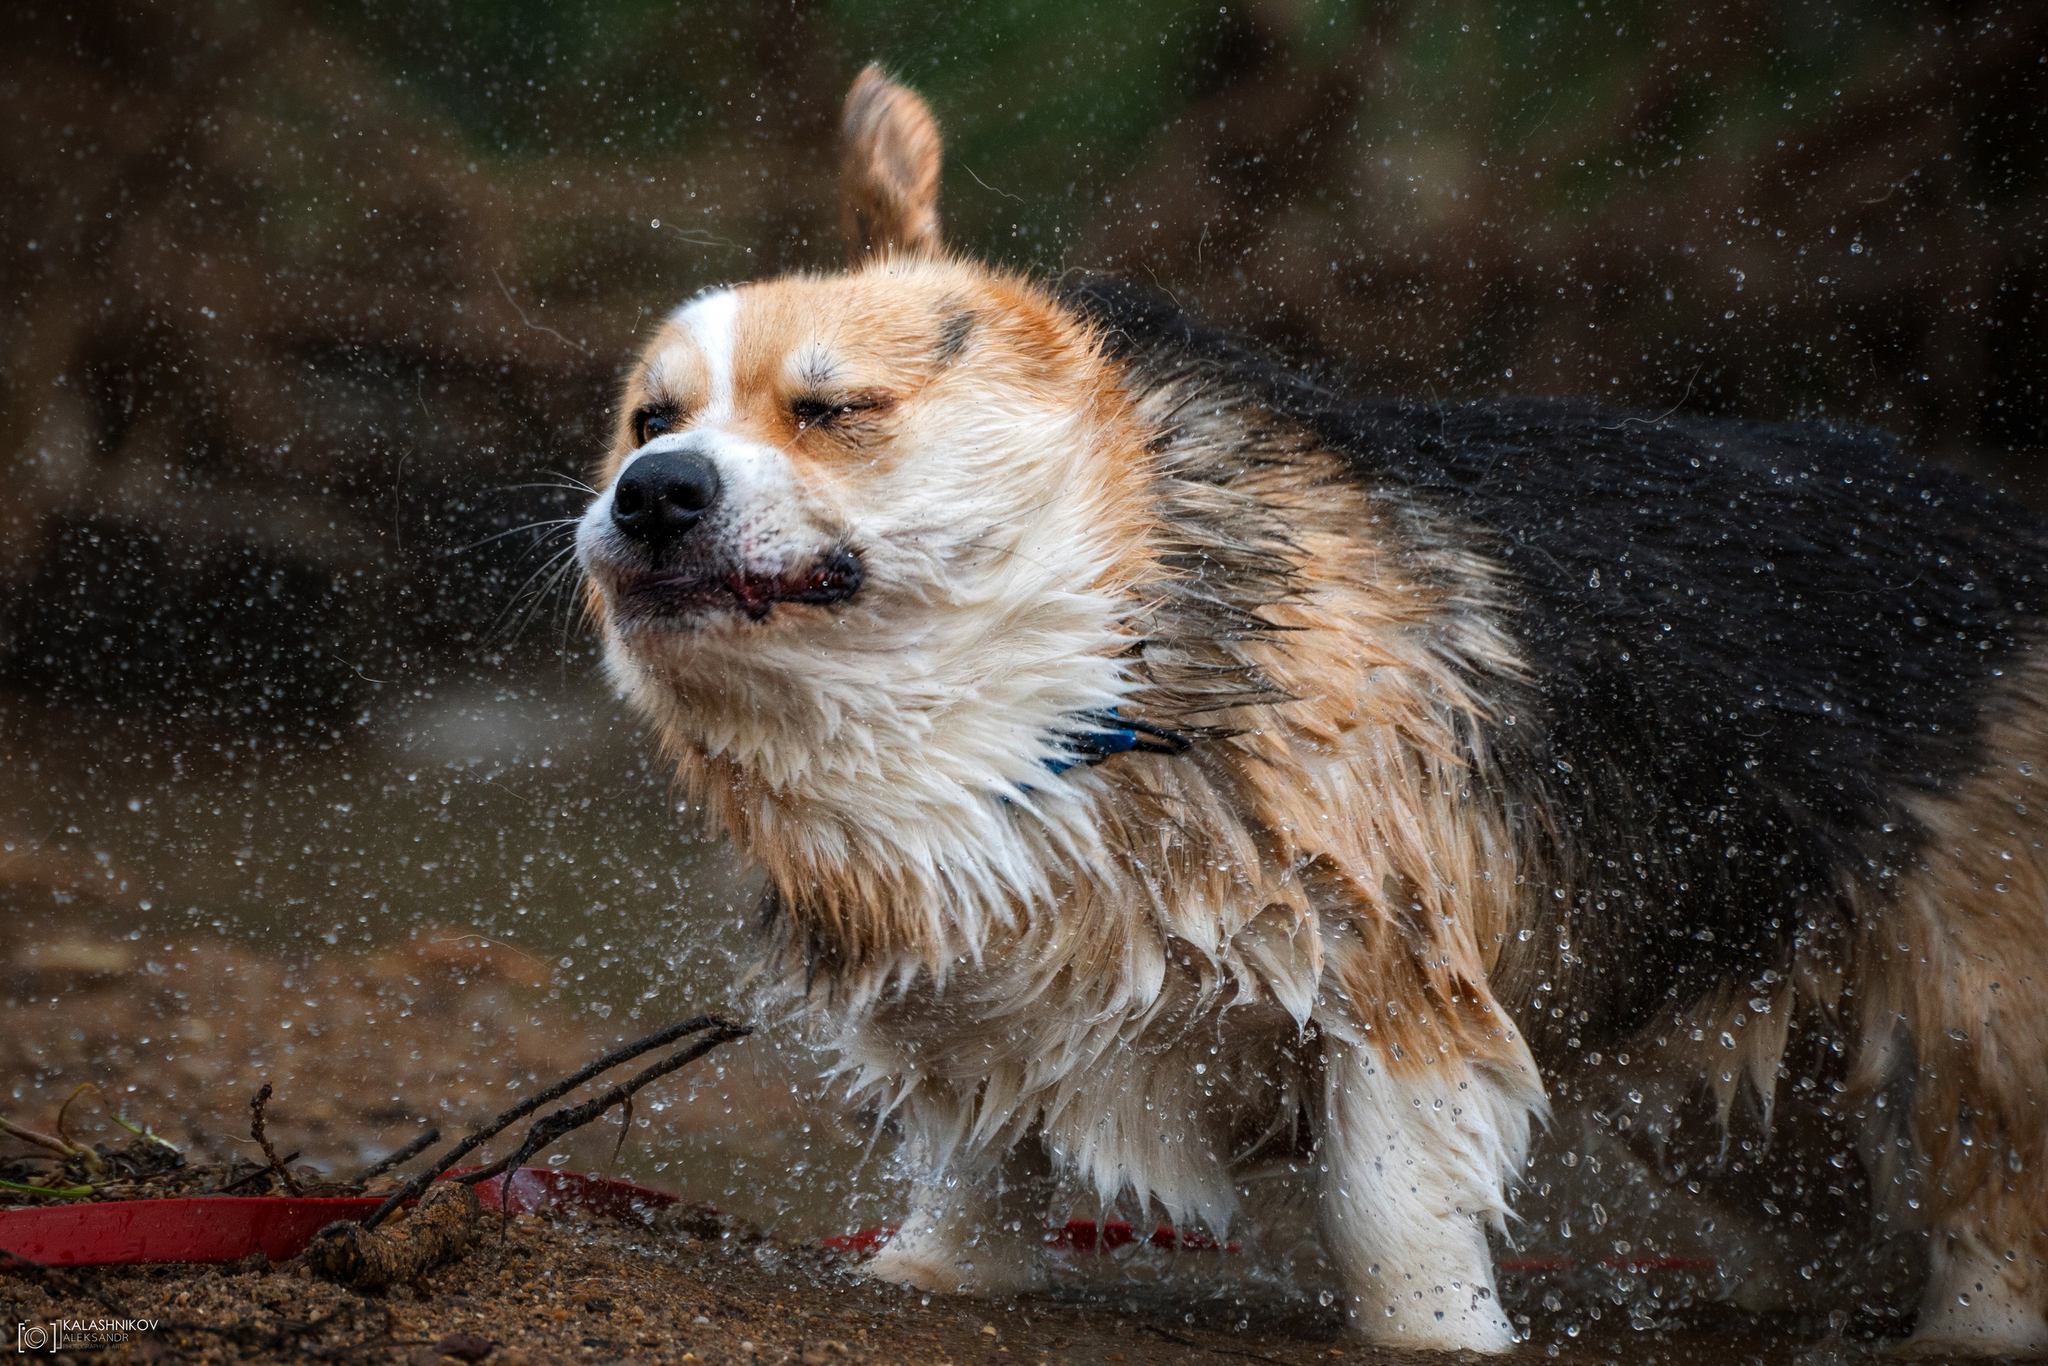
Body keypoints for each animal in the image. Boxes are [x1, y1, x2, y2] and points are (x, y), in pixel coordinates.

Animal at [573, 66, 2048, 1359]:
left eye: (832, 410)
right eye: (649, 417)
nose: (652, 494)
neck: (1077, 678)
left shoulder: (1391, 983)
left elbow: (1390, 1214)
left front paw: (1440, 1337)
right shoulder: (972, 999)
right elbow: (973, 1163)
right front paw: (927, 1273)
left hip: (1982, 1020)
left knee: (1990, 1206)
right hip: (1717, 1074)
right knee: (1826, 1217)